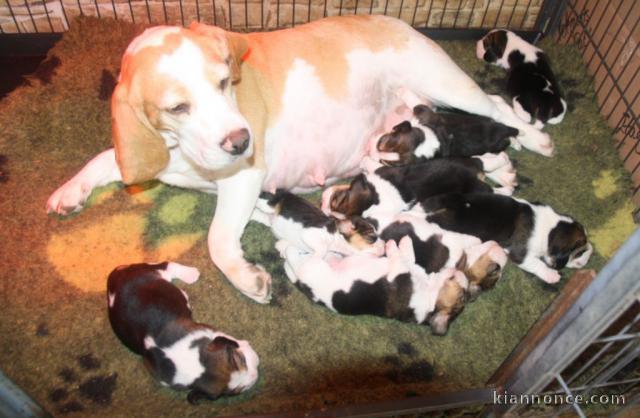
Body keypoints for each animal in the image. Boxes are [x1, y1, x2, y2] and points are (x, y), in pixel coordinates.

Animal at [107, 262, 260, 404]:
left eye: (241, 359)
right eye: (236, 391)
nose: (255, 375)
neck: (195, 363)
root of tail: (116, 272)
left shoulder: (206, 330)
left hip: (151, 270)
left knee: (167, 264)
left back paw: (190, 274)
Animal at [251, 189, 382, 255]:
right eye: (371, 238)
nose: (383, 247)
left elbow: (283, 244)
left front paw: (281, 247)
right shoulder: (310, 233)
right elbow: (321, 251)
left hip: (266, 216)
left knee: (256, 214)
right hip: (267, 205)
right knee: (256, 200)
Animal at [278, 235, 468, 336]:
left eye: (461, 296)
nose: (463, 273)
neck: (429, 292)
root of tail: (305, 286)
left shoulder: (398, 273)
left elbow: (399, 259)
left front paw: (394, 247)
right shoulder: (410, 267)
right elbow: (409, 257)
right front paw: (405, 242)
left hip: (312, 267)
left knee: (300, 257)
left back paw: (292, 247)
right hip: (336, 258)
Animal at [418, 193, 592, 284]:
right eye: (579, 252)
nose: (587, 260)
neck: (552, 228)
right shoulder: (521, 254)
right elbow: (537, 264)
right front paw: (552, 275)